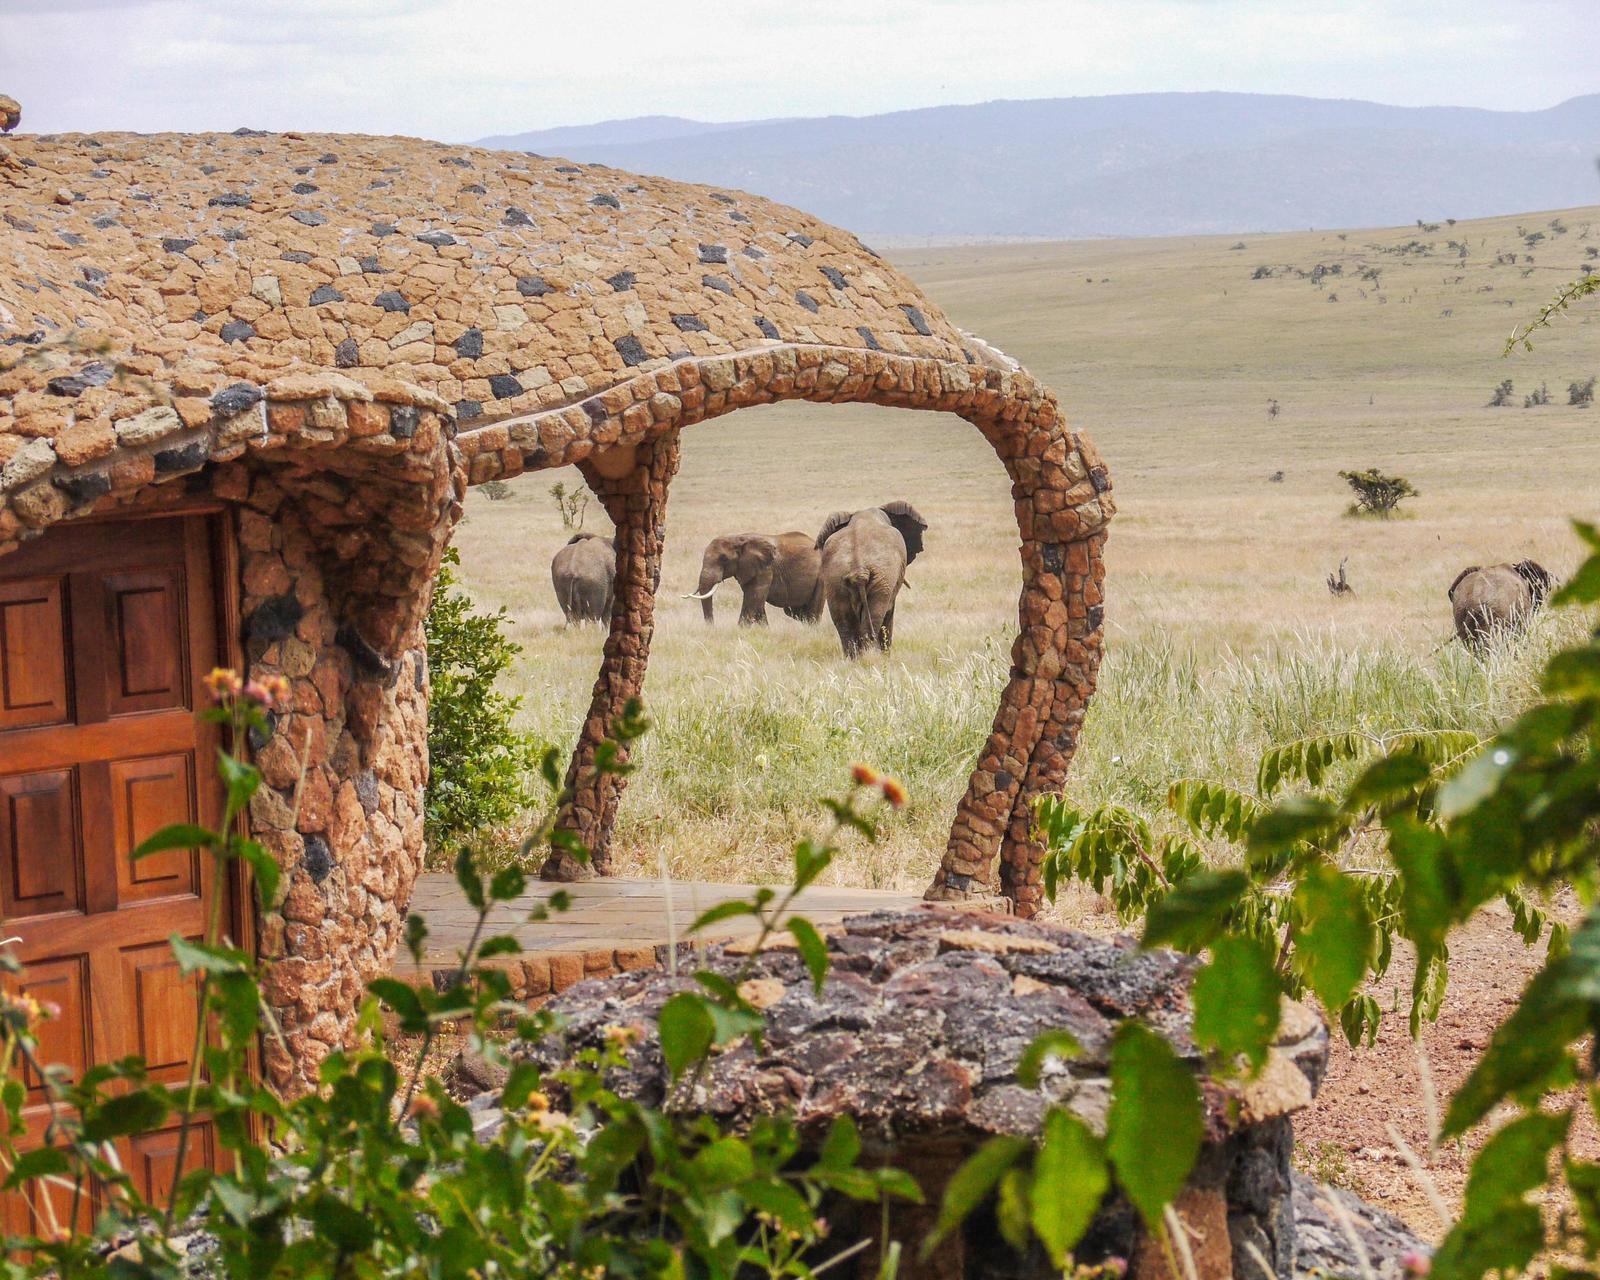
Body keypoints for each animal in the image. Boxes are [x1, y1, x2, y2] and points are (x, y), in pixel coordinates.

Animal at [683, 531, 823, 625]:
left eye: (724, 559)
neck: (738, 538)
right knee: (797, 613)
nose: (712, 627)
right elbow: (754, 601)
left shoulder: (766, 569)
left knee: (813, 612)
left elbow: (754, 598)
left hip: (820, 578)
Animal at [815, 501, 928, 658]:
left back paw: (855, 659)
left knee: (843, 623)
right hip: (882, 580)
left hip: (835, 580)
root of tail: (858, 570)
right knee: (875, 617)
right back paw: (871, 656)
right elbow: (889, 612)